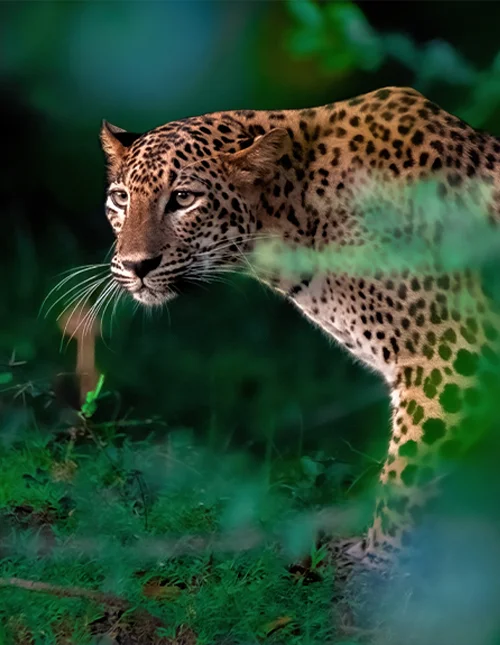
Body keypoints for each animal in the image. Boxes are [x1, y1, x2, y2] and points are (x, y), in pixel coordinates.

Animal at [99, 86, 500, 570]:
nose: (135, 265)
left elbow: (405, 478)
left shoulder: (451, 358)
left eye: (182, 199)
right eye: (121, 199)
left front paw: (377, 562)